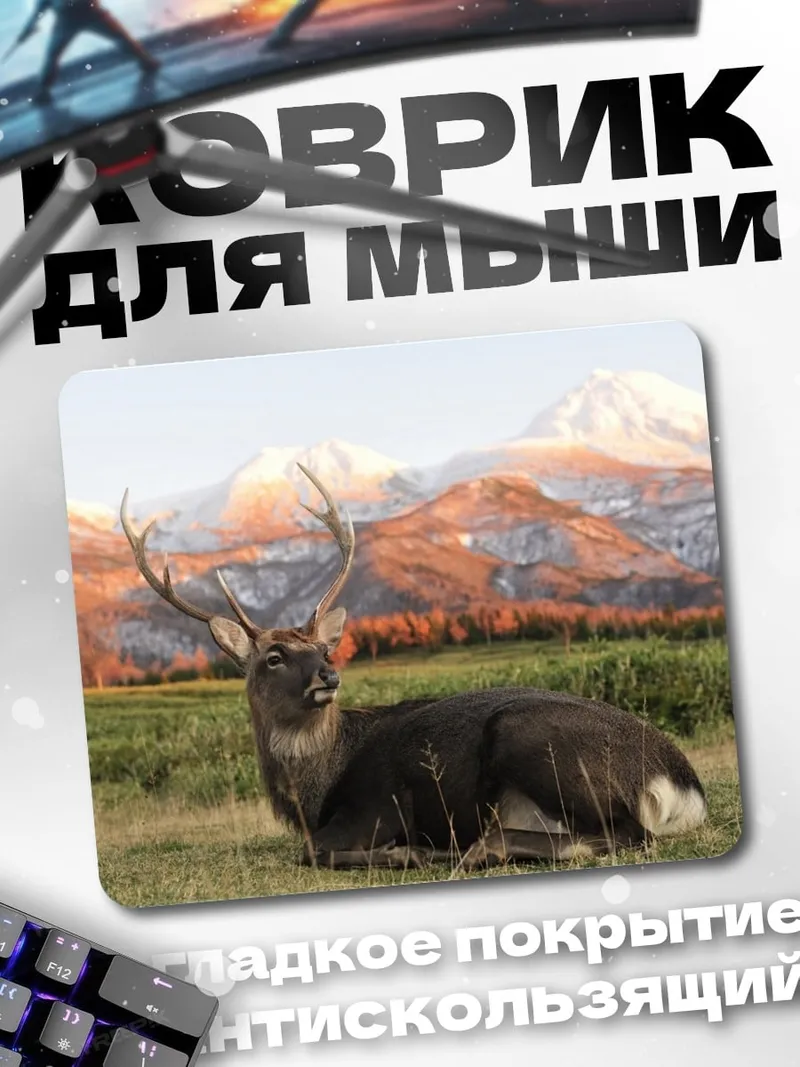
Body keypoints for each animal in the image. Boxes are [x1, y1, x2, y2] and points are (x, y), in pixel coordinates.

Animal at [119, 464, 708, 871]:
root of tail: (682, 785)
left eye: (325, 651)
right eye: (274, 657)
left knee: (624, 834)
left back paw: (471, 849)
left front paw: (406, 853)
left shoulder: (377, 808)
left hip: (532, 739)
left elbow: (311, 853)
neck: (312, 794)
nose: (328, 678)